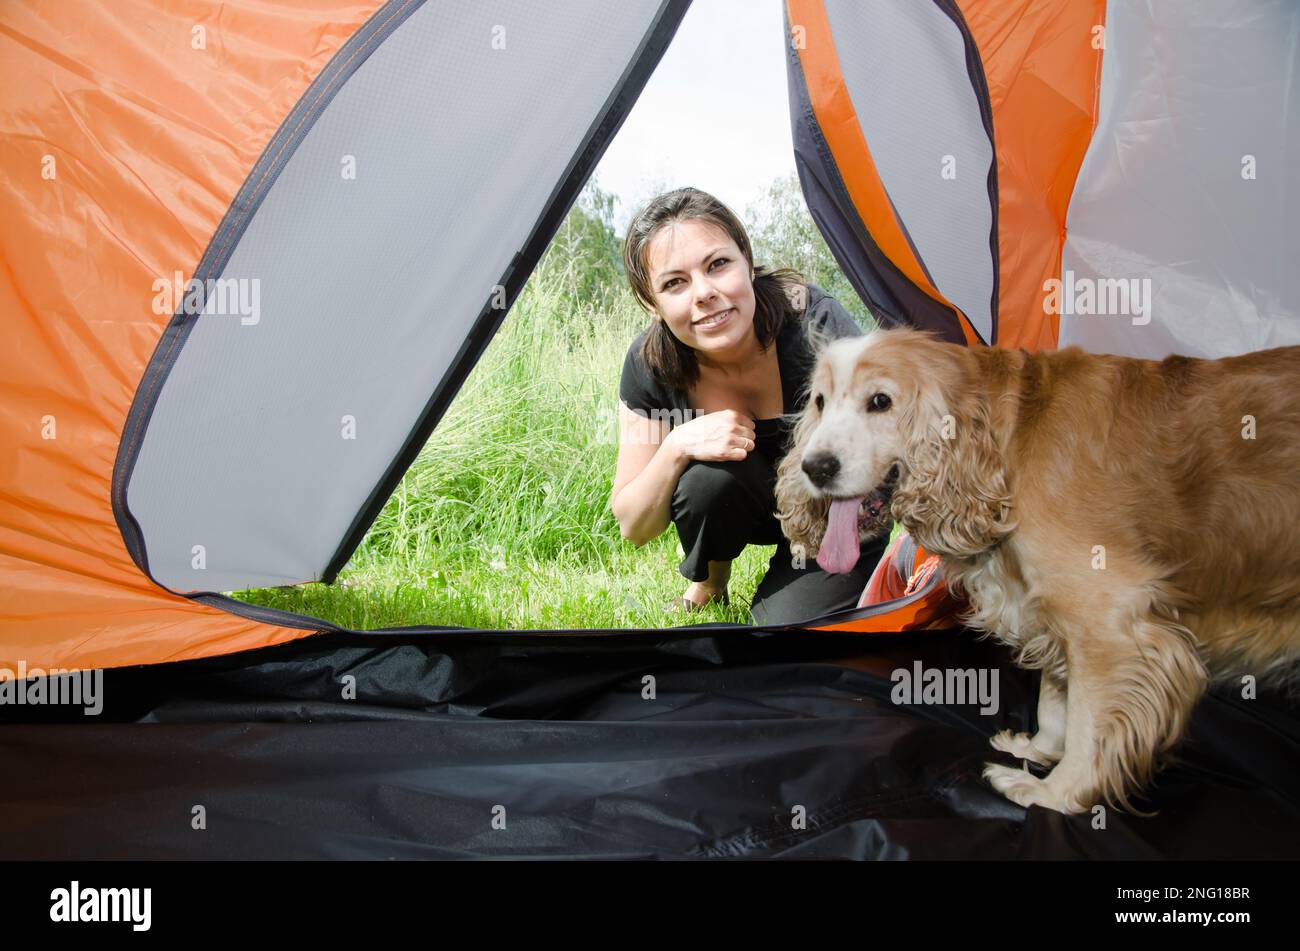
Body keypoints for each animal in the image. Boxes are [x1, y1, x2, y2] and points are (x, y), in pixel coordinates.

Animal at [769, 329, 1300, 815]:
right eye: (820, 401)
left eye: (880, 401)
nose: (815, 467)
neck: (1008, 438)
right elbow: (1056, 698)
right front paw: (1040, 750)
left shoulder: (1108, 616)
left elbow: (1091, 722)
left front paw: (1055, 793)